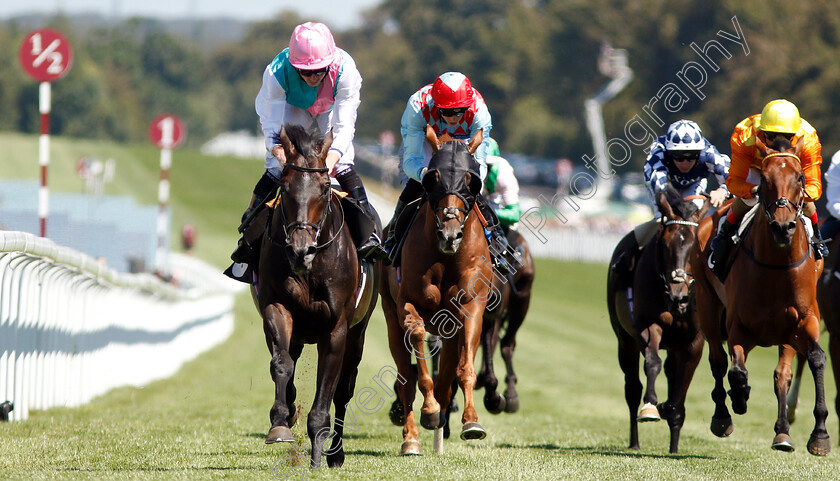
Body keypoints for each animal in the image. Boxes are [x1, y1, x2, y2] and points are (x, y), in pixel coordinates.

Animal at [253, 123, 378, 464]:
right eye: (285, 186)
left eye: (324, 188)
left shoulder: (337, 327)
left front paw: (319, 454)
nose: (300, 250)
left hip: (359, 332)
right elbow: (281, 364)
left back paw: (336, 451)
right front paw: (280, 423)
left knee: (345, 389)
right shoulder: (276, 307)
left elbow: (329, 389)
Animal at [378, 136, 492, 454]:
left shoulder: (471, 307)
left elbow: (463, 368)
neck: (446, 257)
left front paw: (471, 421)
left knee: (448, 374)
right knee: (405, 377)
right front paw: (429, 411)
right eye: (433, 178)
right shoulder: (408, 304)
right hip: (390, 315)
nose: (450, 235)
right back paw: (412, 438)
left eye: (471, 180)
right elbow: (418, 358)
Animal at [608, 186, 712, 452]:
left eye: (695, 247)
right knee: (632, 388)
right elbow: (652, 362)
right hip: (624, 341)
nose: (678, 296)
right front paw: (651, 405)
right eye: (665, 245)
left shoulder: (693, 341)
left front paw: (670, 411)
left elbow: (681, 386)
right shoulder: (646, 324)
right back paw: (635, 442)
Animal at [688, 136, 828, 454]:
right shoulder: (738, 327)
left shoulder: (804, 321)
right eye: (764, 179)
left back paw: (783, 431)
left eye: (799, 178)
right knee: (718, 361)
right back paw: (723, 416)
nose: (783, 226)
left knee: (781, 374)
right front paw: (739, 399)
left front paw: (819, 434)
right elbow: (736, 372)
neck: (775, 267)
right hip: (707, 302)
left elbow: (814, 359)